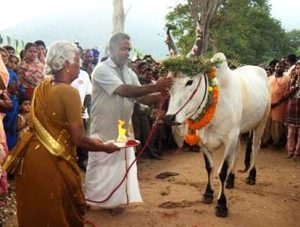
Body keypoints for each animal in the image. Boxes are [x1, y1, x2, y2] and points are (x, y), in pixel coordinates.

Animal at [165, 52, 270, 217]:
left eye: (190, 81)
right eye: (169, 83)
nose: (170, 117)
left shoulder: (230, 139)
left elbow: (222, 171)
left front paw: (221, 204)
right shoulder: (204, 142)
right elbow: (209, 168)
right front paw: (208, 193)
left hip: (261, 122)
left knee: (255, 147)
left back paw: (252, 176)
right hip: (239, 131)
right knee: (238, 152)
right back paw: (231, 180)